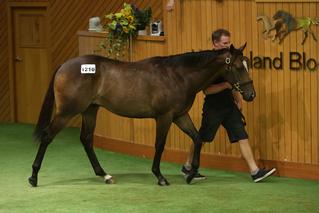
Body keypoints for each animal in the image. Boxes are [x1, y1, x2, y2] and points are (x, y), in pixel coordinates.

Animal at [28, 43, 256, 186]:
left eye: (247, 63)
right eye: (238, 66)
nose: (251, 94)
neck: (178, 75)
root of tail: (64, 66)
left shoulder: (180, 116)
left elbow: (198, 138)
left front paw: (191, 175)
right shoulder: (164, 117)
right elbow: (159, 145)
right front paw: (160, 176)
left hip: (90, 110)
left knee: (86, 140)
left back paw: (105, 175)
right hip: (67, 112)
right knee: (48, 136)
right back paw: (33, 177)